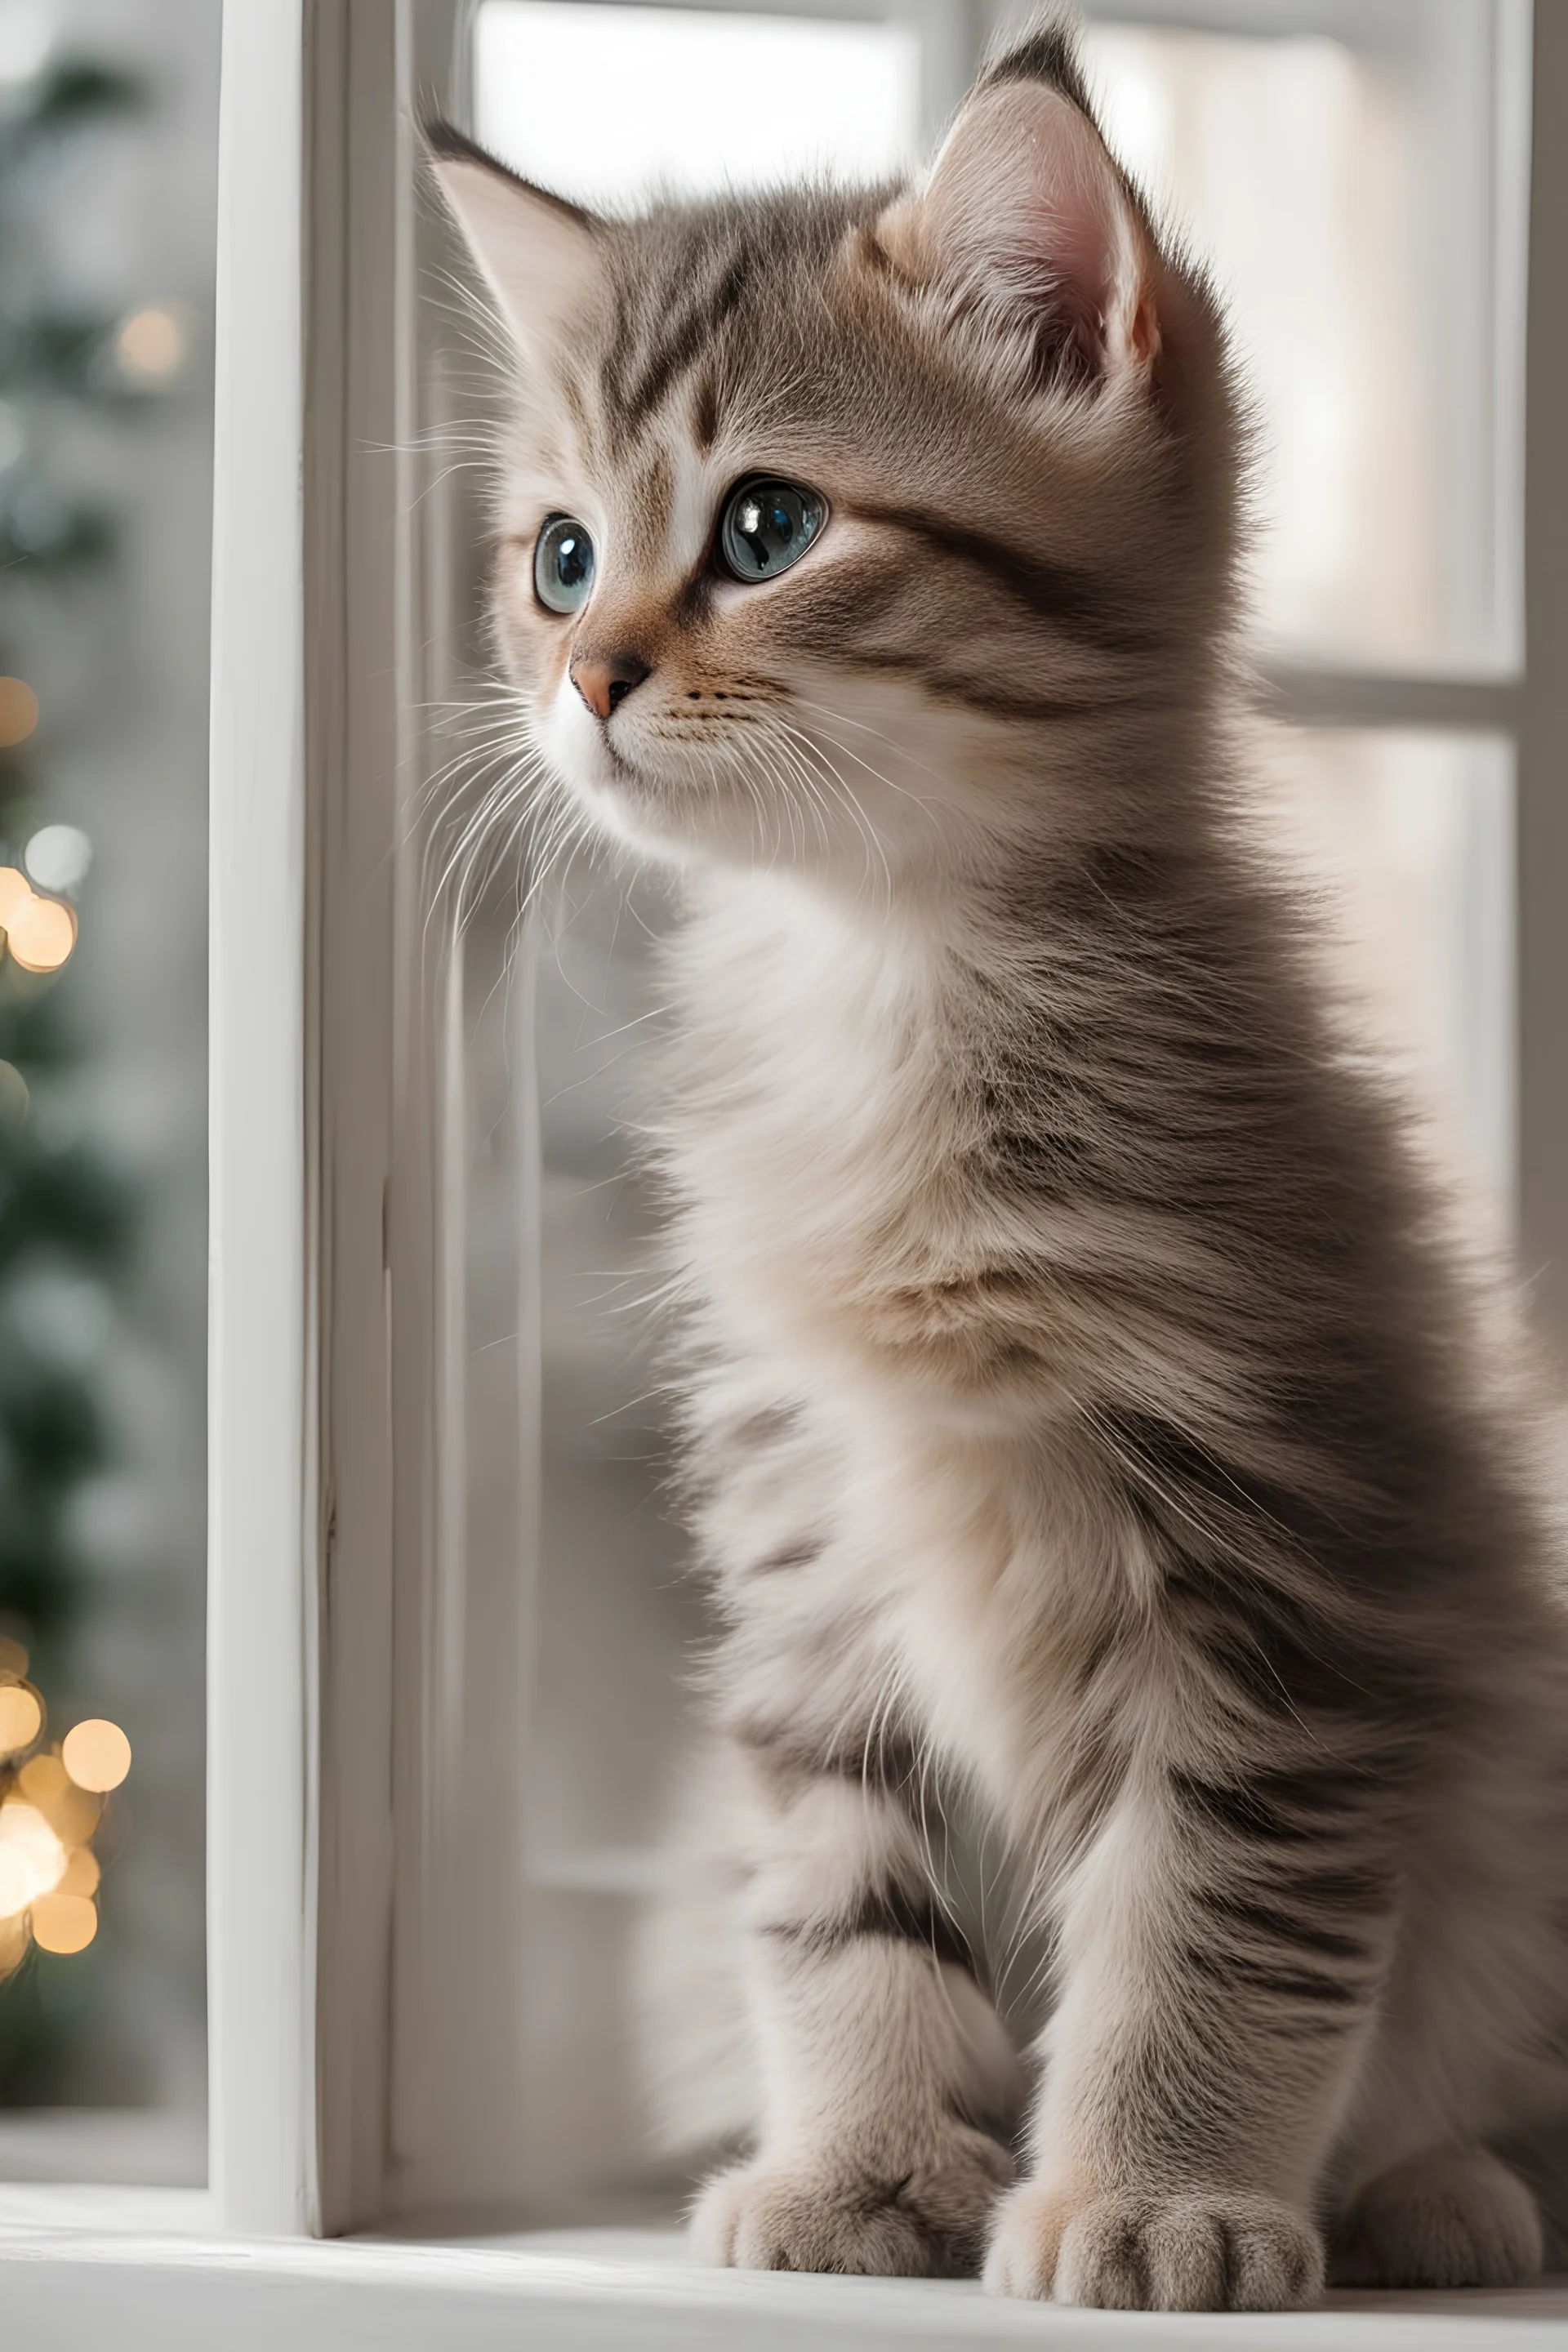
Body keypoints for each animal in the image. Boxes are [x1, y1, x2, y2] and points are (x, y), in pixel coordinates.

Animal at [434, 18, 1568, 2314]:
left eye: (768, 523)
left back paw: (1439, 2183)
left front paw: (1162, 2193)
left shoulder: (1282, 1573)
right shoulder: (806, 1556)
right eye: (560, 556)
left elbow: (1210, 1922)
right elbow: (843, 1900)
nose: (586, 679)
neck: (883, 997)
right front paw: (866, 2162)